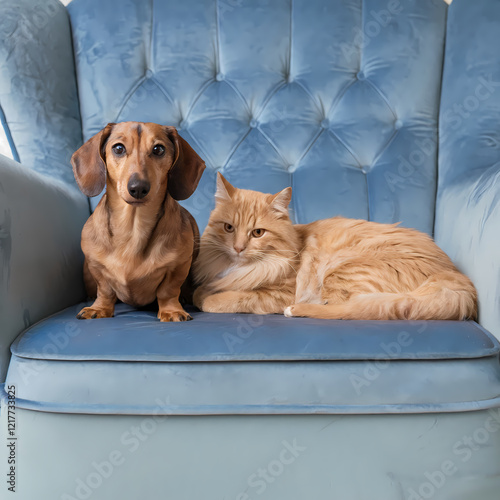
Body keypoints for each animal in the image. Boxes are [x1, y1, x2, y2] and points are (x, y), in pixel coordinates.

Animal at [70, 123, 205, 322]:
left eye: (158, 149)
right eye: (118, 148)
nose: (138, 188)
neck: (133, 227)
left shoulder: (179, 266)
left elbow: (168, 290)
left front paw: (171, 310)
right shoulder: (96, 267)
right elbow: (105, 290)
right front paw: (100, 308)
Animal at [192, 172, 476, 320]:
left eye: (257, 233)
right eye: (229, 228)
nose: (239, 248)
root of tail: (454, 276)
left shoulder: (279, 293)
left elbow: (230, 298)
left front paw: (207, 297)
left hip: (342, 271)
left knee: (349, 309)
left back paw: (295, 311)